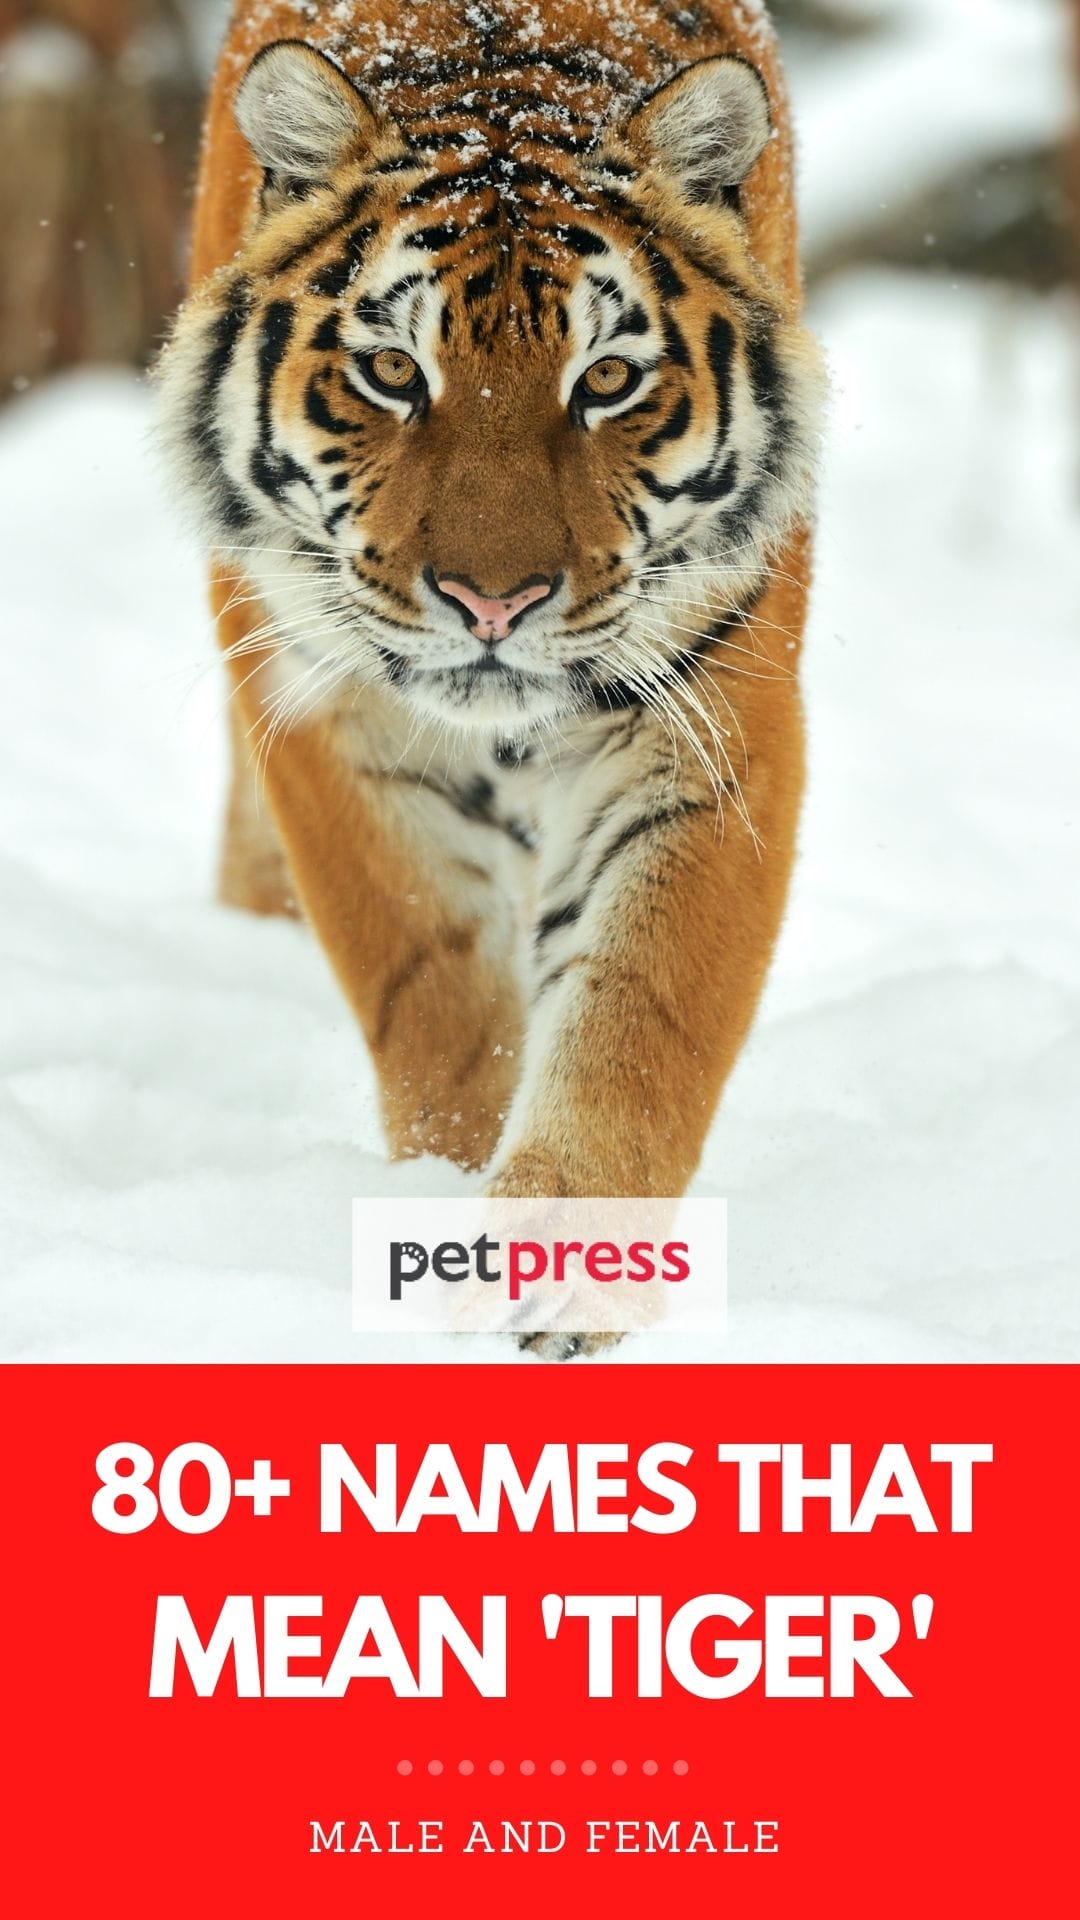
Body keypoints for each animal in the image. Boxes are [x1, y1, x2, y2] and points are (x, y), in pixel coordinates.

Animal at [155, 0, 824, 1356]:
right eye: (393, 374)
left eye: (607, 381)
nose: (493, 604)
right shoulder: (329, 714)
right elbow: (438, 995)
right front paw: (443, 1212)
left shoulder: (710, 725)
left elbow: (635, 1010)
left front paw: (559, 1276)